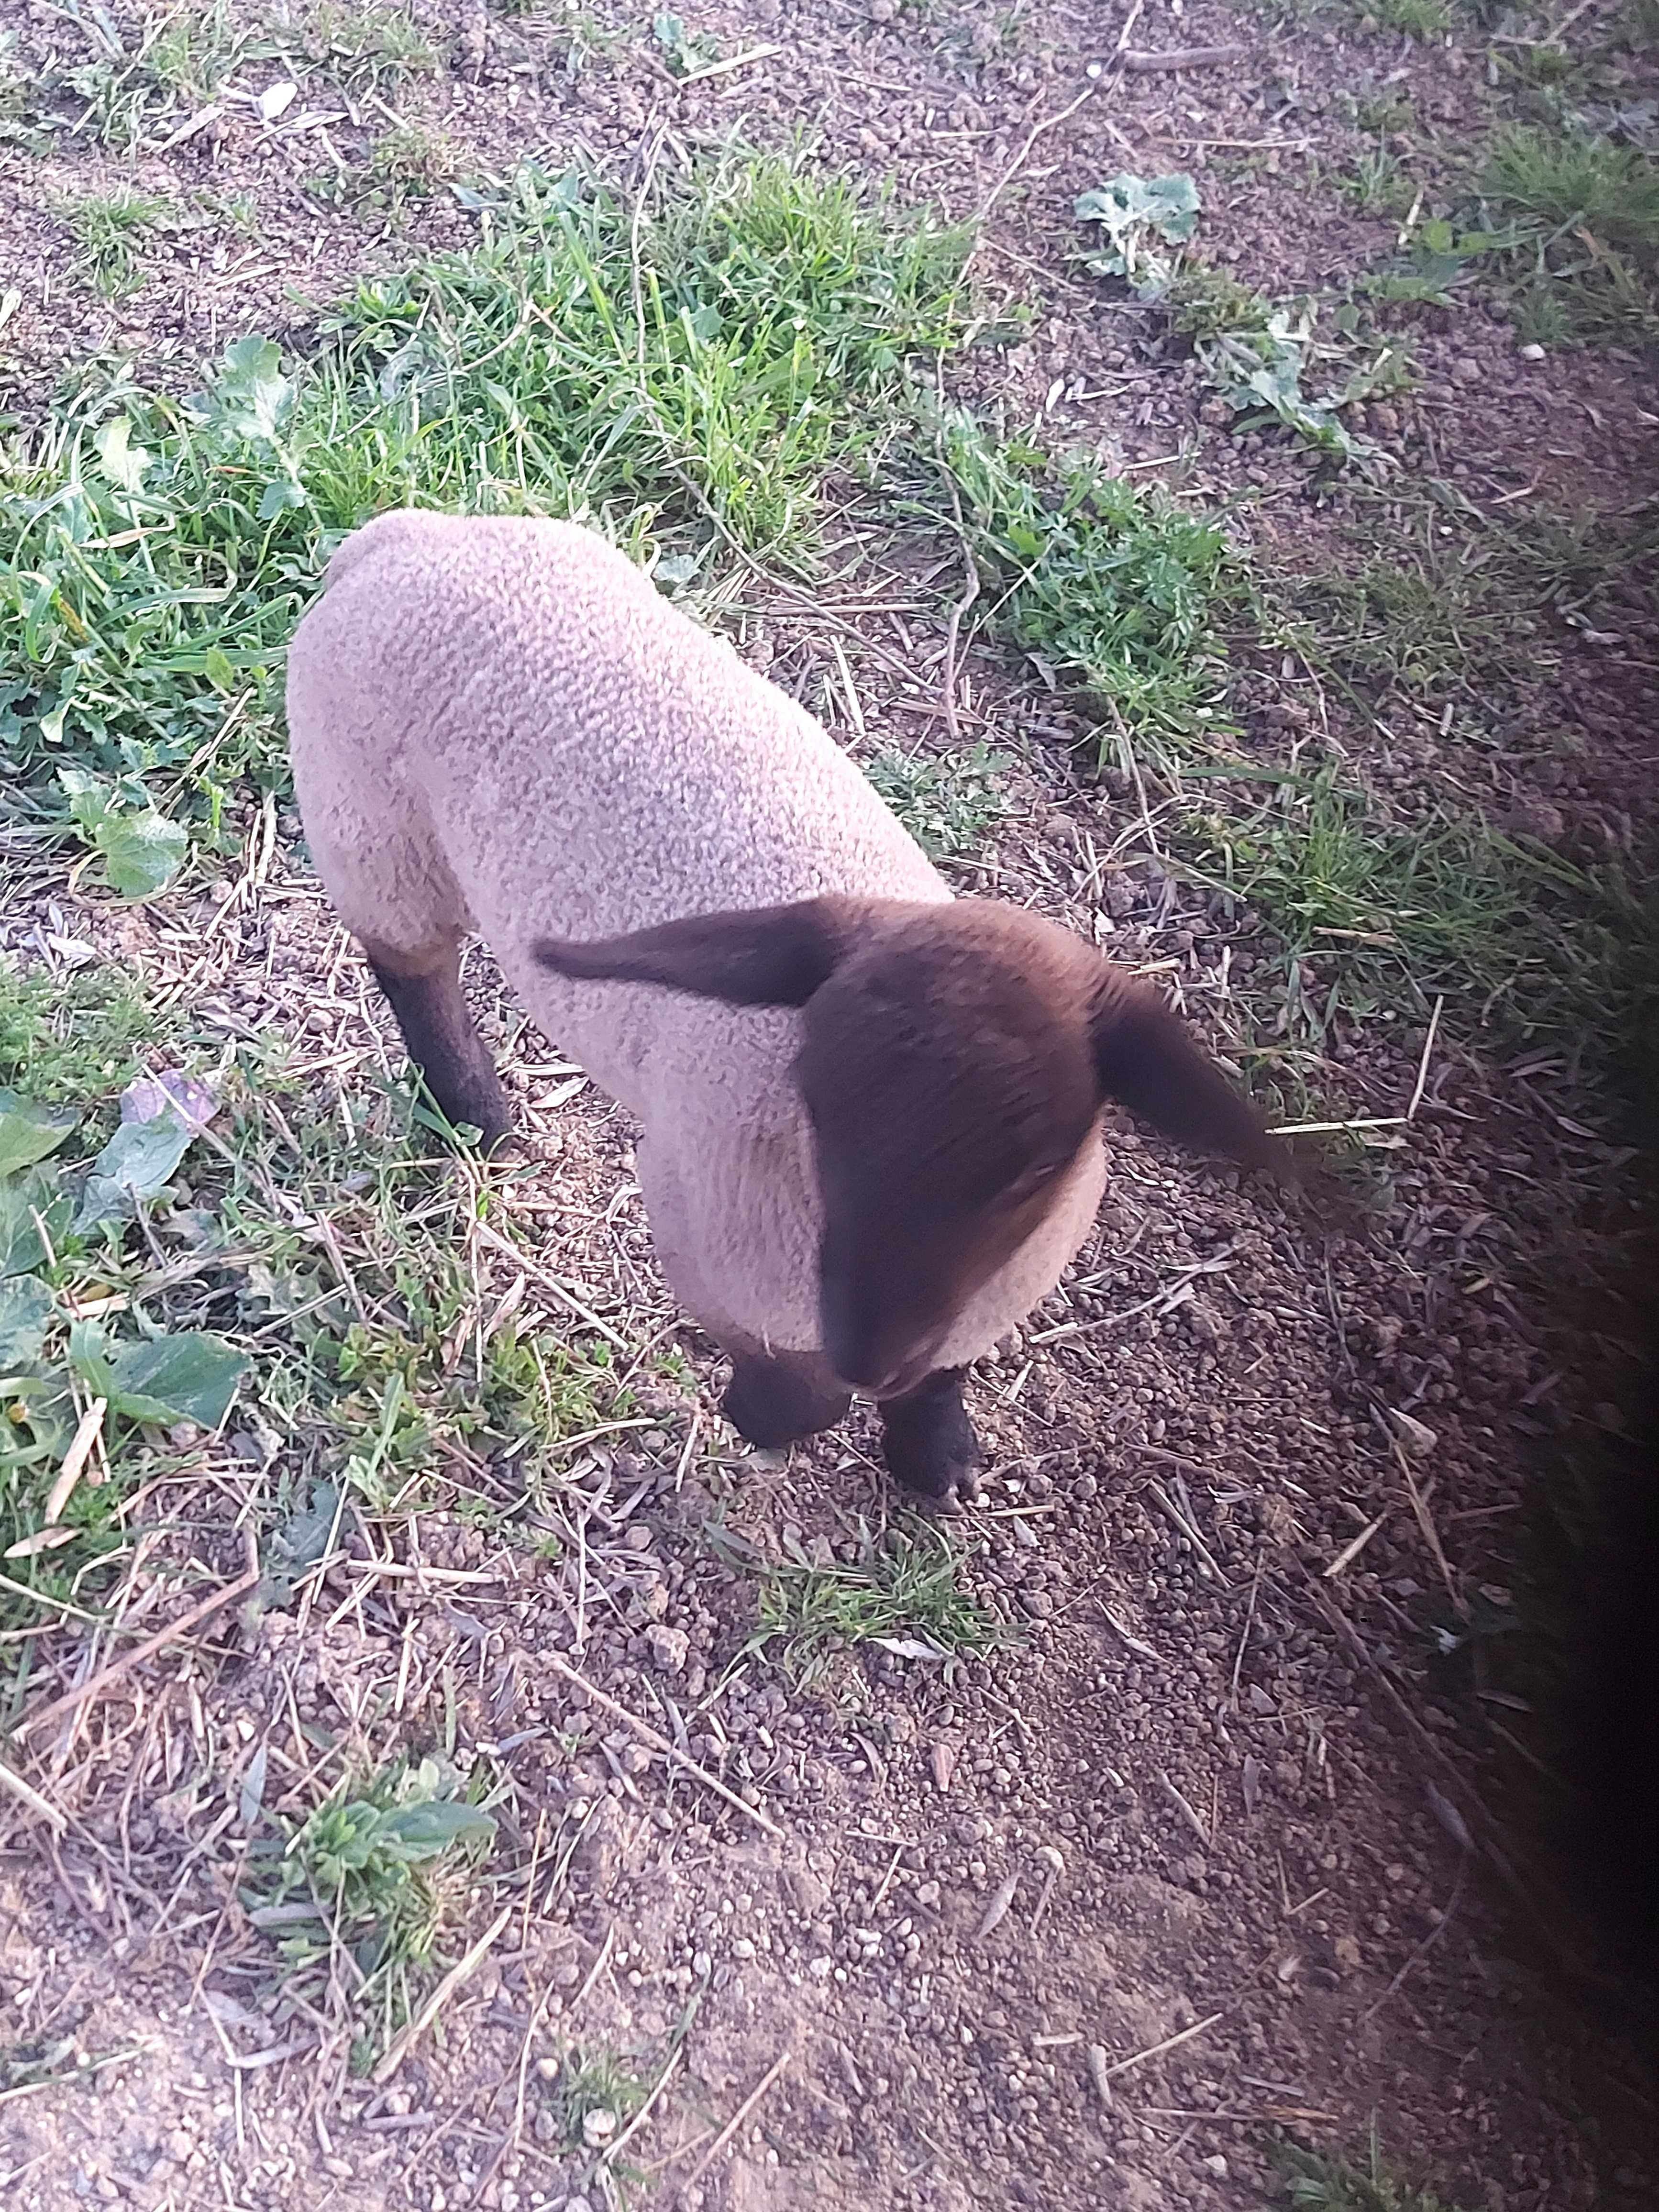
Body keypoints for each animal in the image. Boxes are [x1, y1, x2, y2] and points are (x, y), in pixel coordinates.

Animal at [289, 506, 1300, 1504]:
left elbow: (941, 1373)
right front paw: (763, 1420)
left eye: (1032, 1168)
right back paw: (479, 1116)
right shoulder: (700, 1231)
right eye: (816, 1105)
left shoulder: (974, 1297)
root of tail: (397, 537)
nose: (870, 1351)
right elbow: (801, 1393)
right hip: (369, 822)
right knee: (413, 968)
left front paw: (935, 1455)